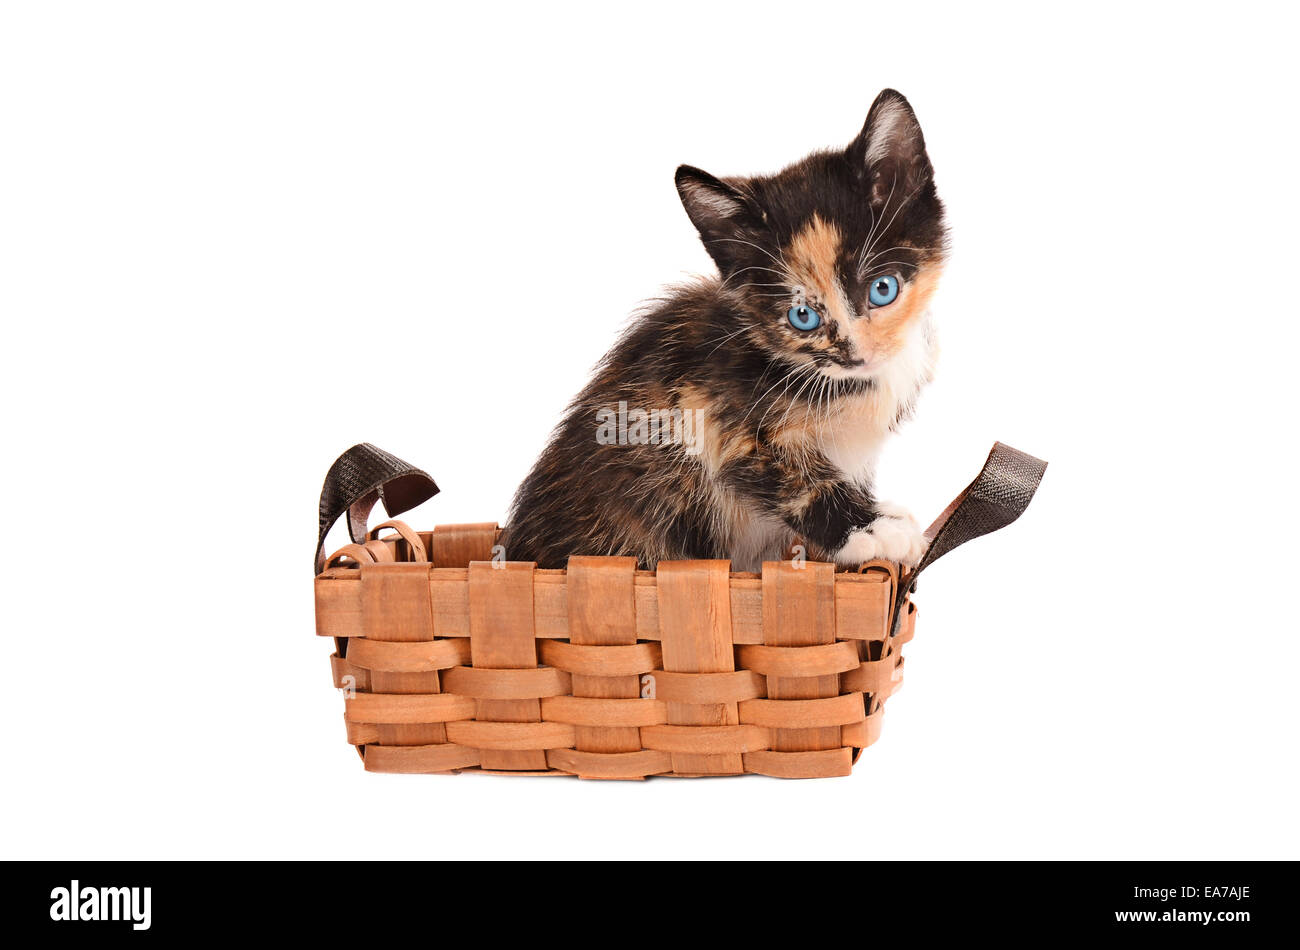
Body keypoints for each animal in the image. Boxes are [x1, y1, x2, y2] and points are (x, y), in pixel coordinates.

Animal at [501, 90, 951, 571]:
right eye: (802, 316)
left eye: (883, 289)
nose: (856, 355)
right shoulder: (704, 405)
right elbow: (791, 476)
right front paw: (874, 529)